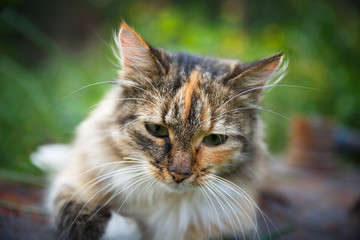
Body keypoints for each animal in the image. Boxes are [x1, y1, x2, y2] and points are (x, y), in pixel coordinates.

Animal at [47, 22, 286, 240]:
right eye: (157, 130)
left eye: (214, 139)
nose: (179, 174)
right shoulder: (72, 182)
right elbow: (74, 212)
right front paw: (123, 227)